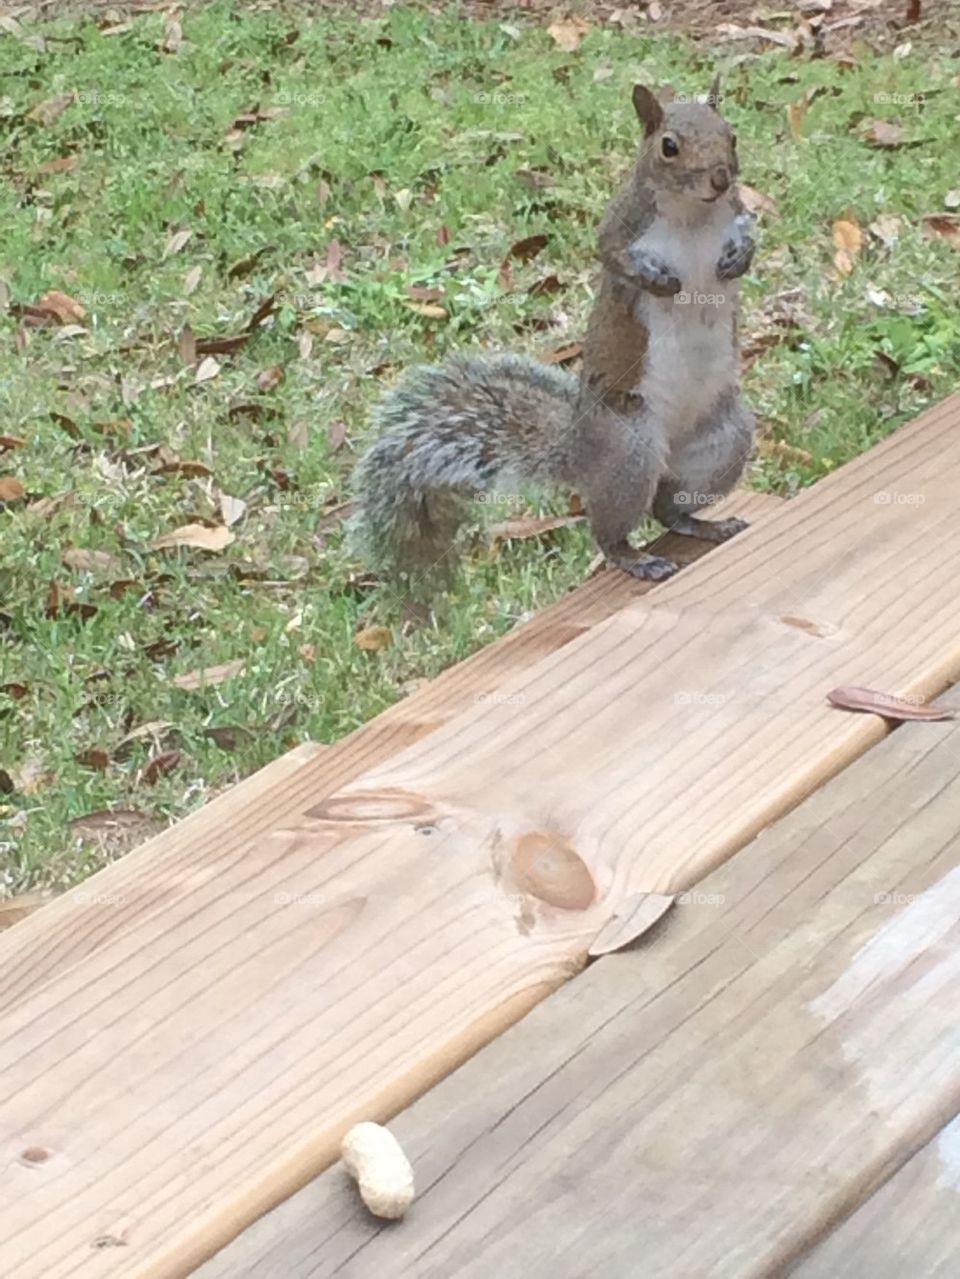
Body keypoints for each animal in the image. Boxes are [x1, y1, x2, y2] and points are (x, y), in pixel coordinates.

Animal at [351, 79, 756, 584]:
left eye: (732, 135)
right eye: (669, 147)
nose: (721, 178)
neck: (694, 214)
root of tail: (580, 449)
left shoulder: (735, 212)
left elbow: (749, 234)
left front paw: (739, 258)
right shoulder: (620, 225)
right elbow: (612, 256)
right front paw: (657, 279)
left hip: (723, 442)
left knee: (669, 507)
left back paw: (706, 525)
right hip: (631, 452)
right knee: (612, 531)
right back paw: (637, 559)